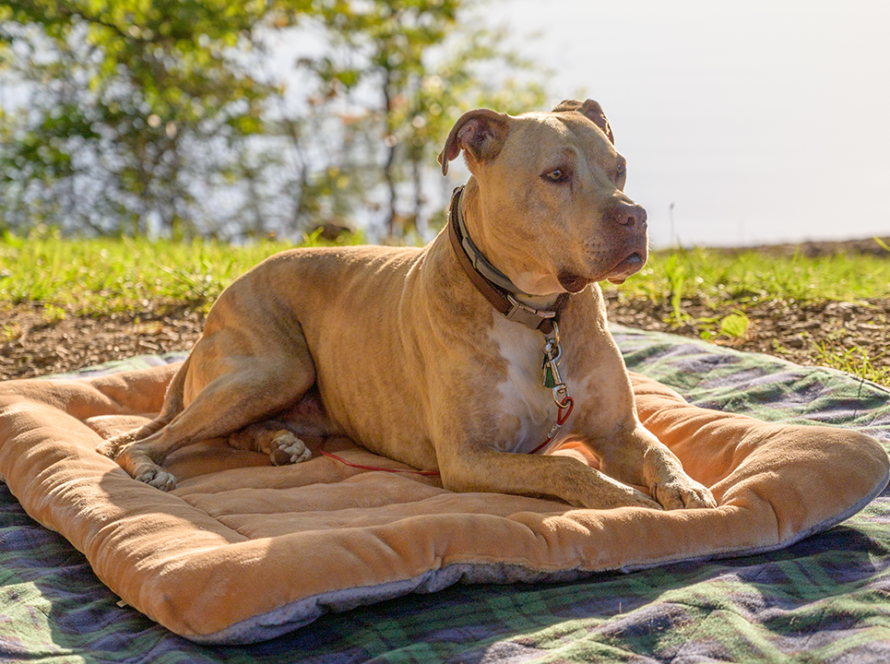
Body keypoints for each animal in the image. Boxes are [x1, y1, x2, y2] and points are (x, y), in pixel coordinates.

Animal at [99, 98, 716, 510]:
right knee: (152, 441)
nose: (634, 217)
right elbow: (566, 468)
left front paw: (686, 487)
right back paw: (149, 466)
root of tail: (221, 301)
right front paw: (623, 497)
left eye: (620, 170)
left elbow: (661, 453)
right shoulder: (467, 457)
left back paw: (281, 444)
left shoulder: (619, 430)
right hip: (274, 368)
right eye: (556, 175)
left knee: (233, 432)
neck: (533, 314)